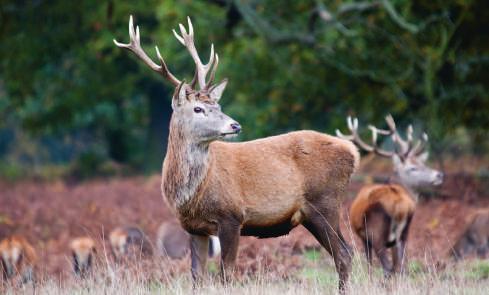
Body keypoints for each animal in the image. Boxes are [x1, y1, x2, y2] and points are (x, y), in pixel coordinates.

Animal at [114, 16, 358, 292]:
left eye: (217, 105)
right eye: (198, 108)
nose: (235, 125)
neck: (190, 194)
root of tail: (353, 151)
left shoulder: (232, 216)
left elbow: (226, 275)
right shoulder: (194, 228)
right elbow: (196, 276)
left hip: (324, 203)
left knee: (344, 254)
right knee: (346, 252)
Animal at [336, 115, 442, 278]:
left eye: (422, 163)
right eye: (413, 167)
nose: (439, 175)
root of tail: (400, 205)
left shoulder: (364, 237)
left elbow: (369, 265)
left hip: (377, 232)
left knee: (387, 267)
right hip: (404, 232)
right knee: (400, 267)